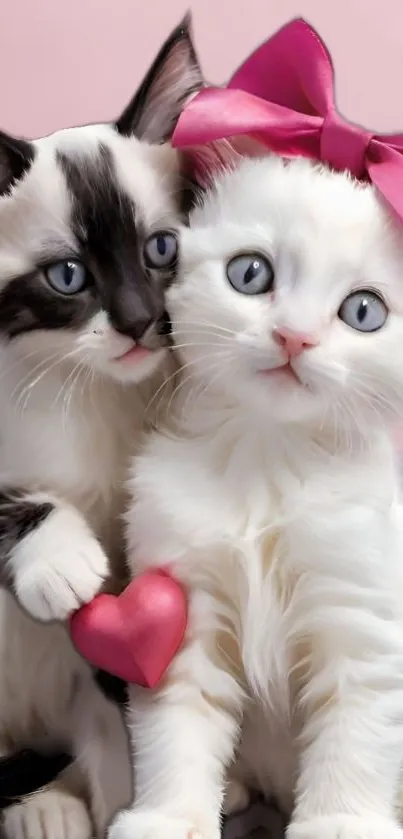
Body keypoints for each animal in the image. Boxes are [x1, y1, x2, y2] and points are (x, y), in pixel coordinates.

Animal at [113, 156, 403, 839]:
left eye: (364, 311)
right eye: (250, 273)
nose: (294, 337)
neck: (266, 459)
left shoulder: (362, 611)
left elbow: (357, 728)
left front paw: (342, 820)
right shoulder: (182, 607)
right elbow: (177, 724)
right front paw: (169, 815)